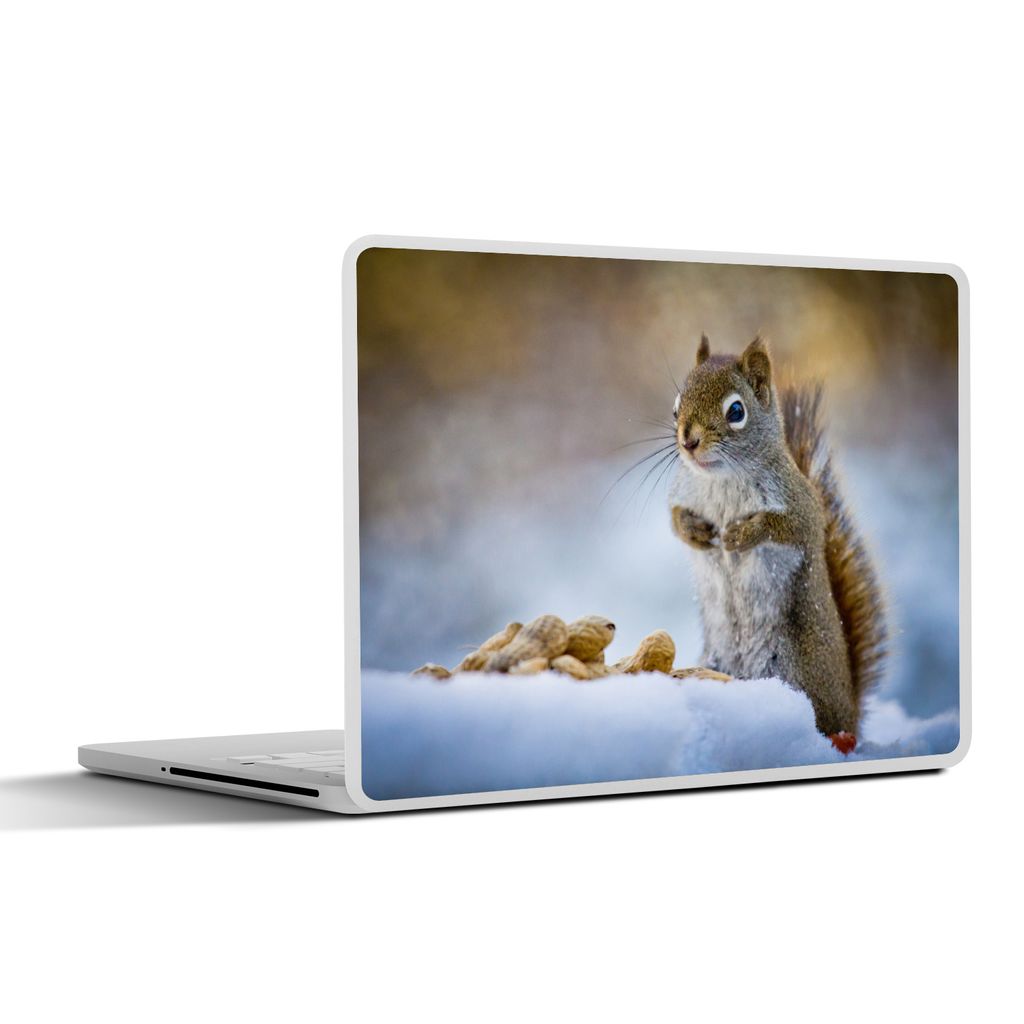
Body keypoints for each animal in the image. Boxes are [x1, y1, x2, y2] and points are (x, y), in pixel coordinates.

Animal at [668, 334, 887, 755]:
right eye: (675, 407)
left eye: (736, 410)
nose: (688, 441)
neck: (723, 479)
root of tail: (851, 708)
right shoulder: (682, 494)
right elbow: (674, 519)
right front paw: (696, 532)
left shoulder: (802, 507)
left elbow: (788, 527)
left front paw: (740, 535)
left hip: (799, 673)